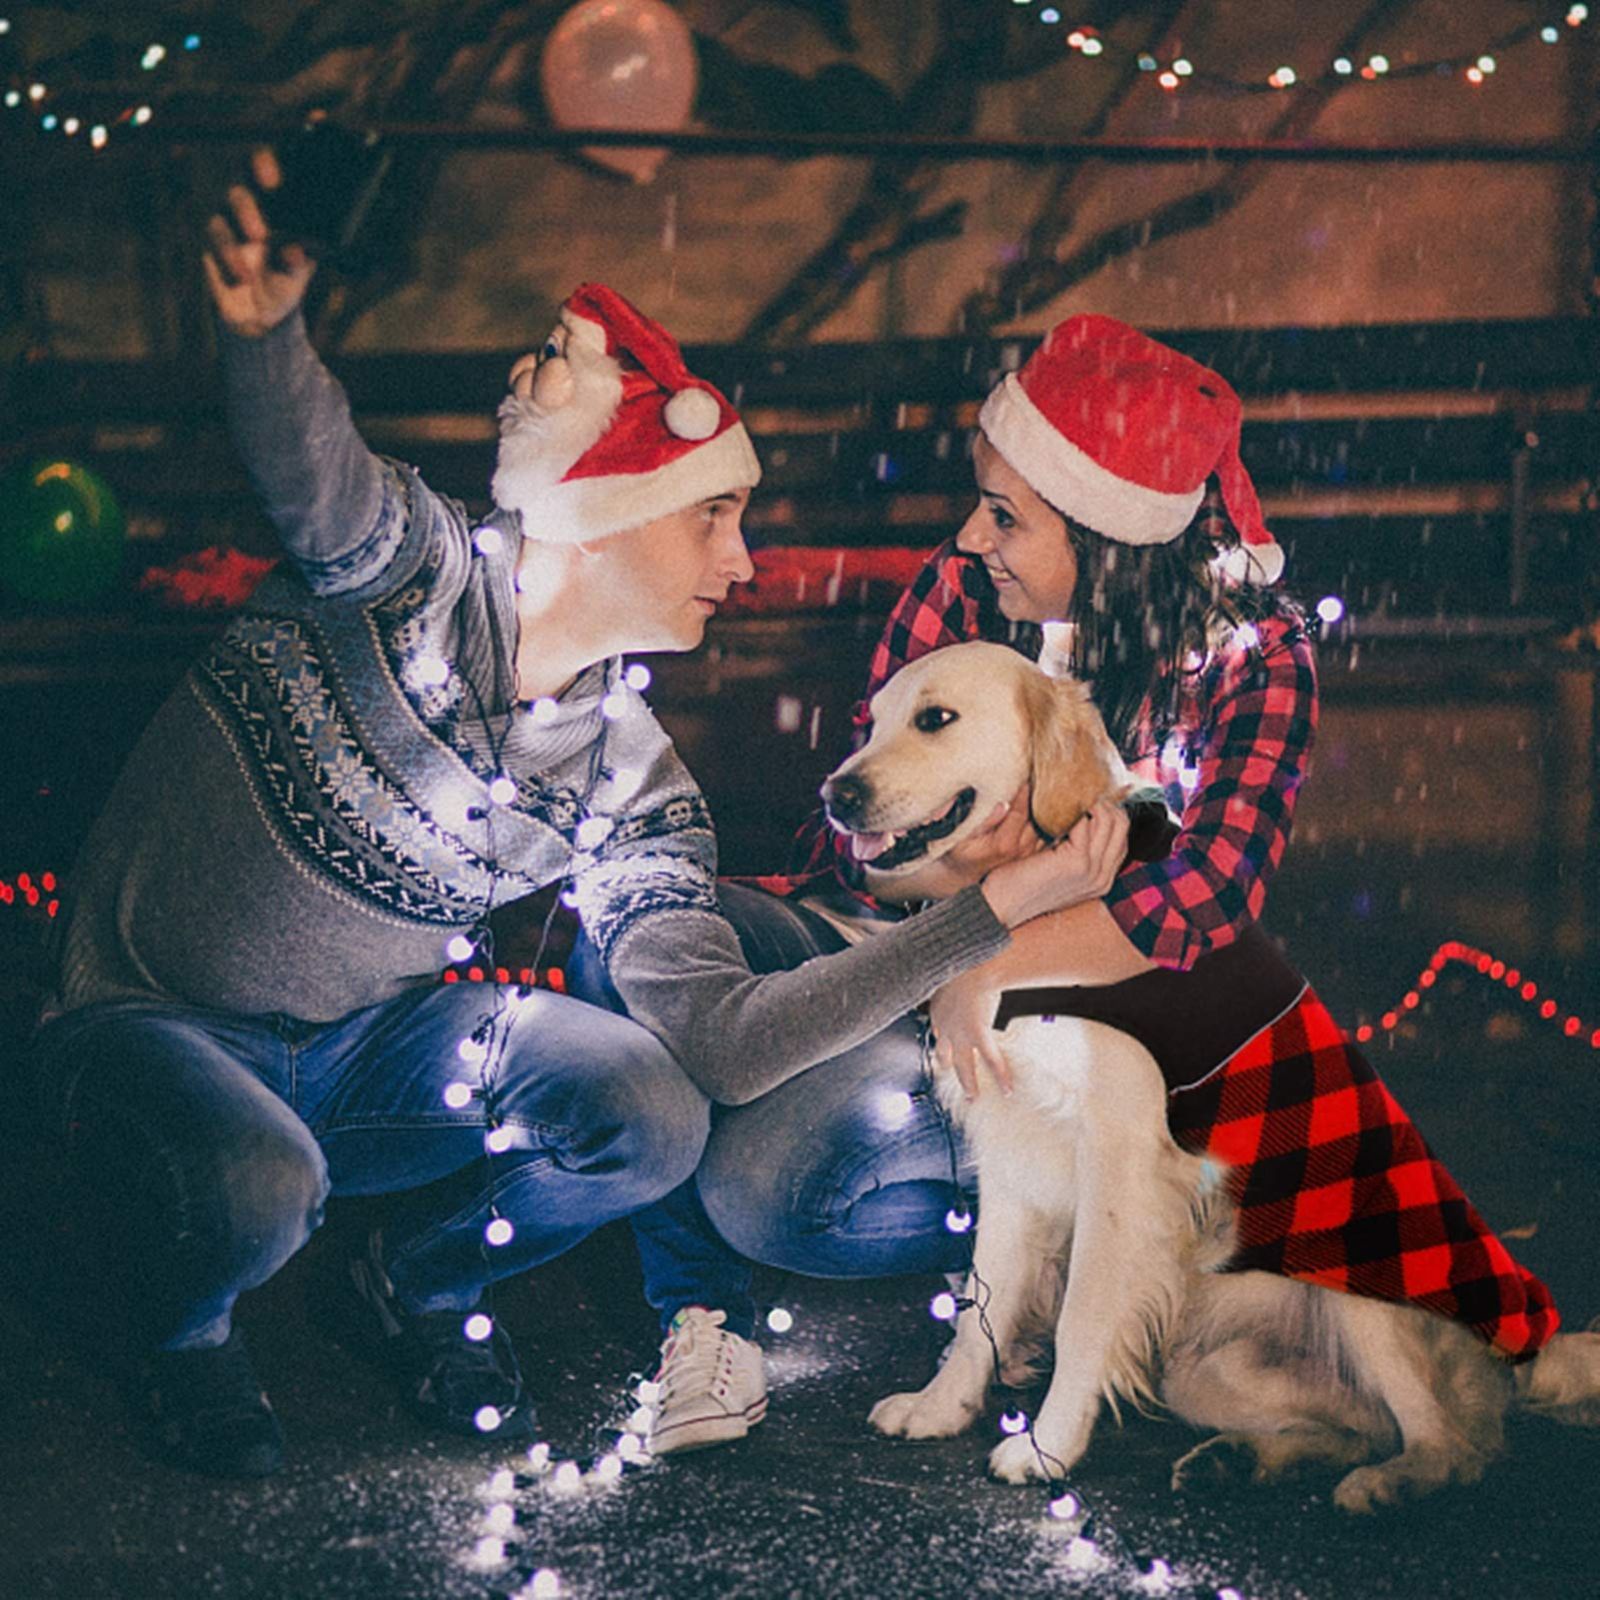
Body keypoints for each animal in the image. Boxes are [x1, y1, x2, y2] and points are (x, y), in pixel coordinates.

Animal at [825, 640, 1600, 1510]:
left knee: (1449, 1443)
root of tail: (1526, 1354)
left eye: (936, 718)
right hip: (1206, 1371)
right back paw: (1241, 1459)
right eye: (872, 722)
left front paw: (1049, 1449)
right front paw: (942, 1405)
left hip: (1364, 1285)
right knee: (1359, 1425)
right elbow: (979, 1301)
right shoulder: (1011, 1147)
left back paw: (1384, 1485)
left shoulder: (1122, 1161)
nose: (835, 794)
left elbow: (1083, 1315)